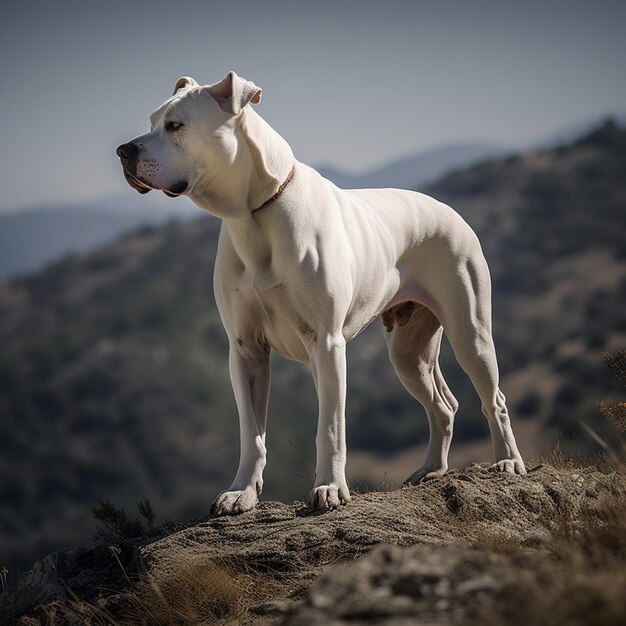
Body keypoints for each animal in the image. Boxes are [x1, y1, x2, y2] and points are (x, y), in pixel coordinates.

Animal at [116, 72, 520, 512]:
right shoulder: (245, 350)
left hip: (470, 335)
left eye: (175, 125)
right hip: (408, 354)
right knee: (444, 406)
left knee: (494, 400)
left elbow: (329, 426)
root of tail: (447, 209)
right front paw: (242, 491)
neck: (255, 215)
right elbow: (251, 433)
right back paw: (432, 469)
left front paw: (329, 487)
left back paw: (507, 463)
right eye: (152, 120)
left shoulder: (326, 344)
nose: (123, 151)